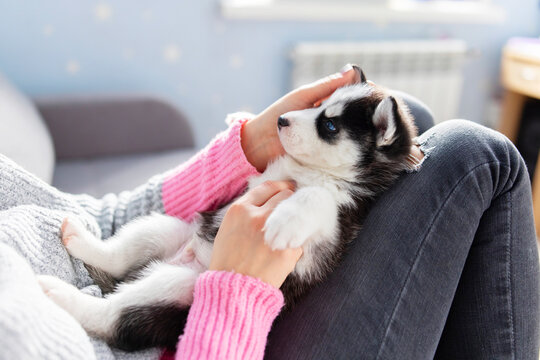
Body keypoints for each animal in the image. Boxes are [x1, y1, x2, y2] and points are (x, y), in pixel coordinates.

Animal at [39, 66, 418, 350]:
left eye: (329, 125)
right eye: (319, 105)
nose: (281, 120)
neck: (310, 171)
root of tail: (179, 261)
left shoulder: (331, 233)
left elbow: (317, 198)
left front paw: (286, 220)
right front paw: (244, 117)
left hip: (177, 288)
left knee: (113, 317)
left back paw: (60, 294)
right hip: (168, 229)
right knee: (119, 256)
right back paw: (81, 241)